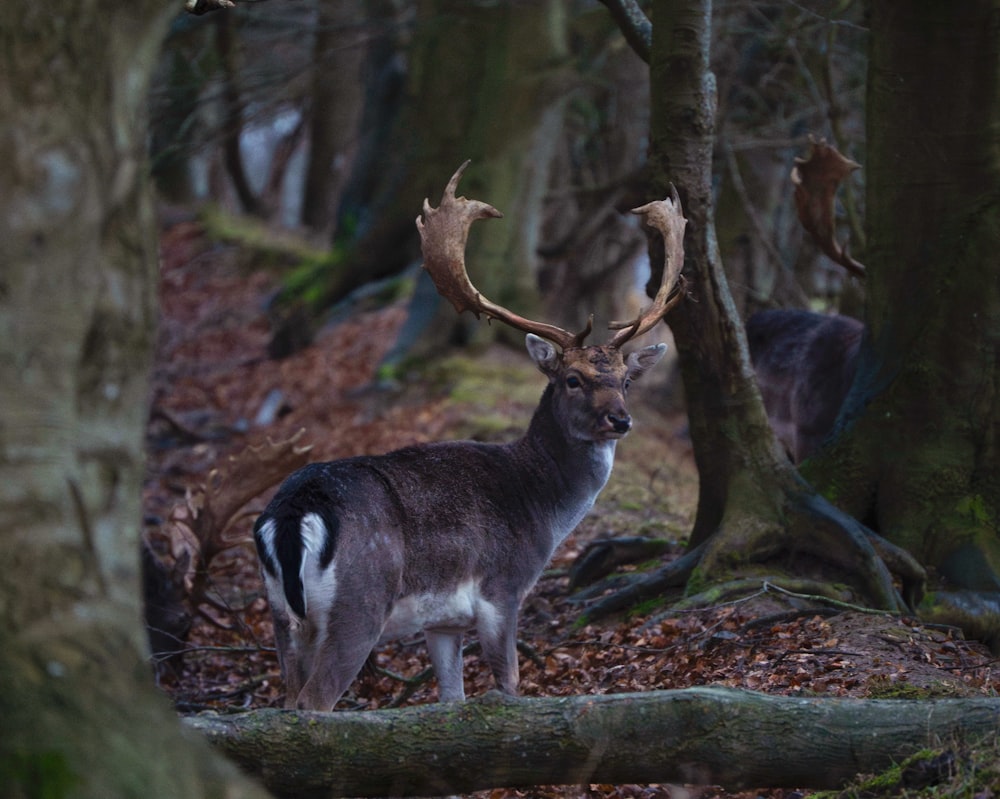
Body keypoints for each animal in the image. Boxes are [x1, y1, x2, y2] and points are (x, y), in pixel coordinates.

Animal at [254, 162, 688, 712]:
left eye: (626, 380)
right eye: (572, 379)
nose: (620, 420)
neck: (541, 507)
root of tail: (291, 513)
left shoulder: (443, 621)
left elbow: (452, 699)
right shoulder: (502, 588)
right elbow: (509, 682)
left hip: (282, 617)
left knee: (287, 698)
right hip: (359, 603)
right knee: (314, 701)